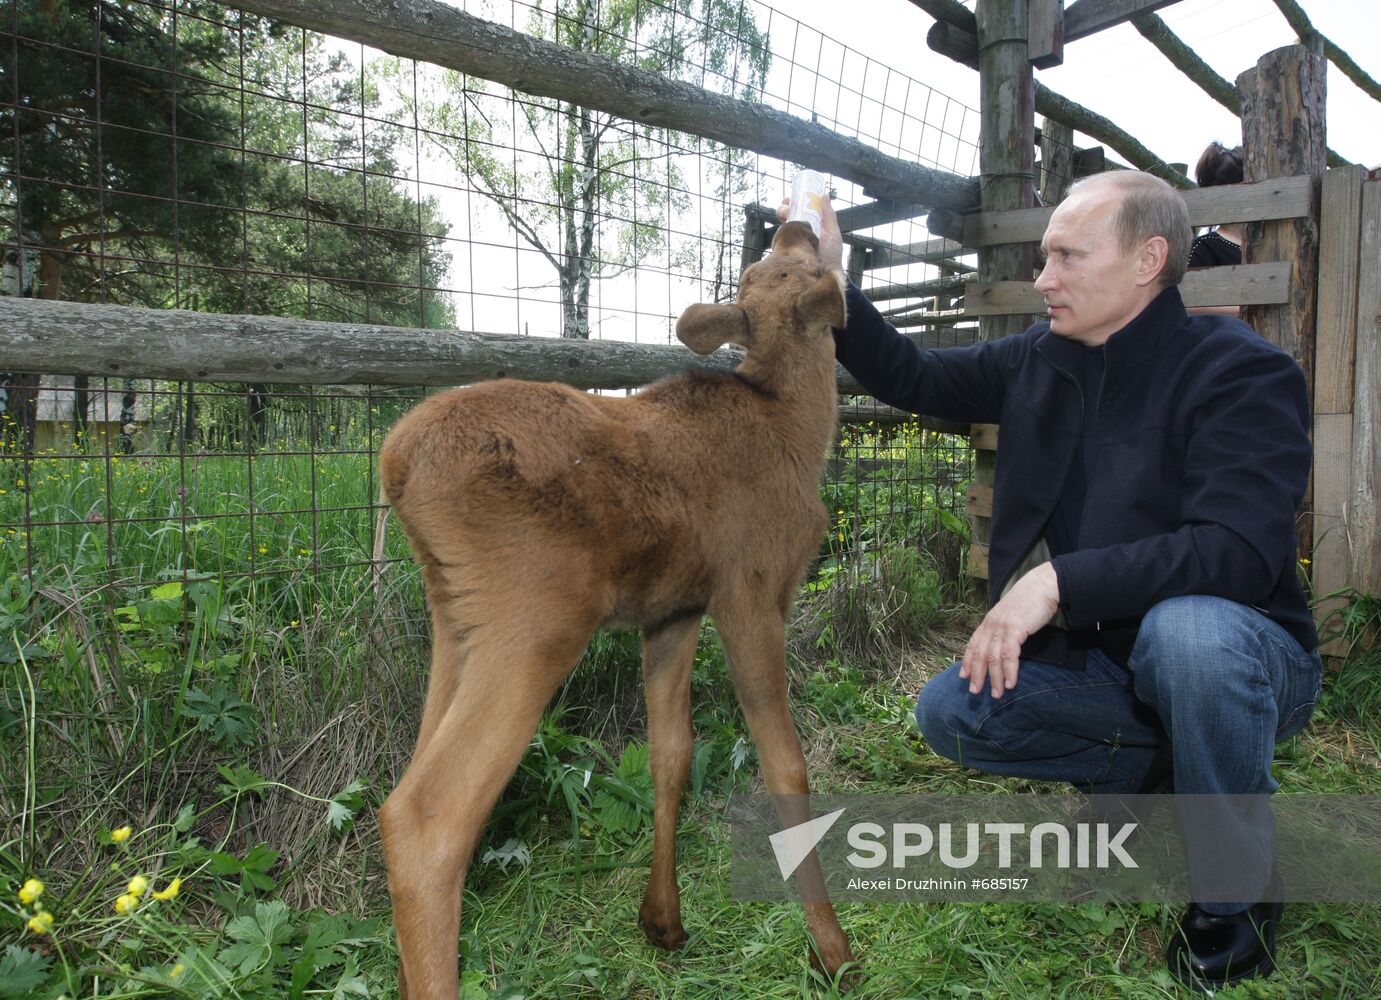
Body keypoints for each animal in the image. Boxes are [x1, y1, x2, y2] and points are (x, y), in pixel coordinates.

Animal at [375, 218, 850, 994]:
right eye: (796, 266)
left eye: (767, 266)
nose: (796, 222)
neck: (800, 427)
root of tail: (395, 458)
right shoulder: (749, 594)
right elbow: (786, 766)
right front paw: (832, 950)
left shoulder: (671, 612)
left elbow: (670, 754)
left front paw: (662, 920)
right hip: (536, 615)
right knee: (428, 817)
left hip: (455, 619)